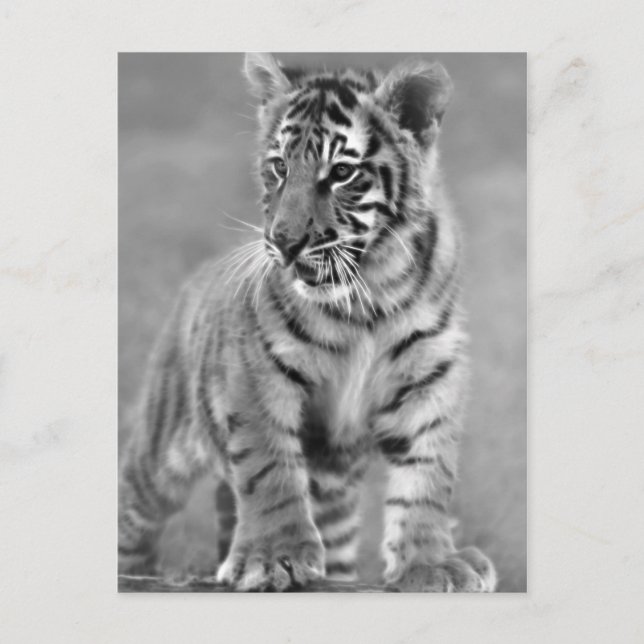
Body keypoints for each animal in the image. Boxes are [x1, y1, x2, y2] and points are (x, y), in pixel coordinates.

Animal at [118, 52, 497, 592]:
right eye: (279, 167)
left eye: (341, 173)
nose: (284, 241)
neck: (369, 295)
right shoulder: (257, 372)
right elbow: (268, 466)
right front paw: (272, 556)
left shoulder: (431, 375)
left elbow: (426, 476)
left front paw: (431, 563)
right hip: (160, 446)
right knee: (133, 510)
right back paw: (136, 572)